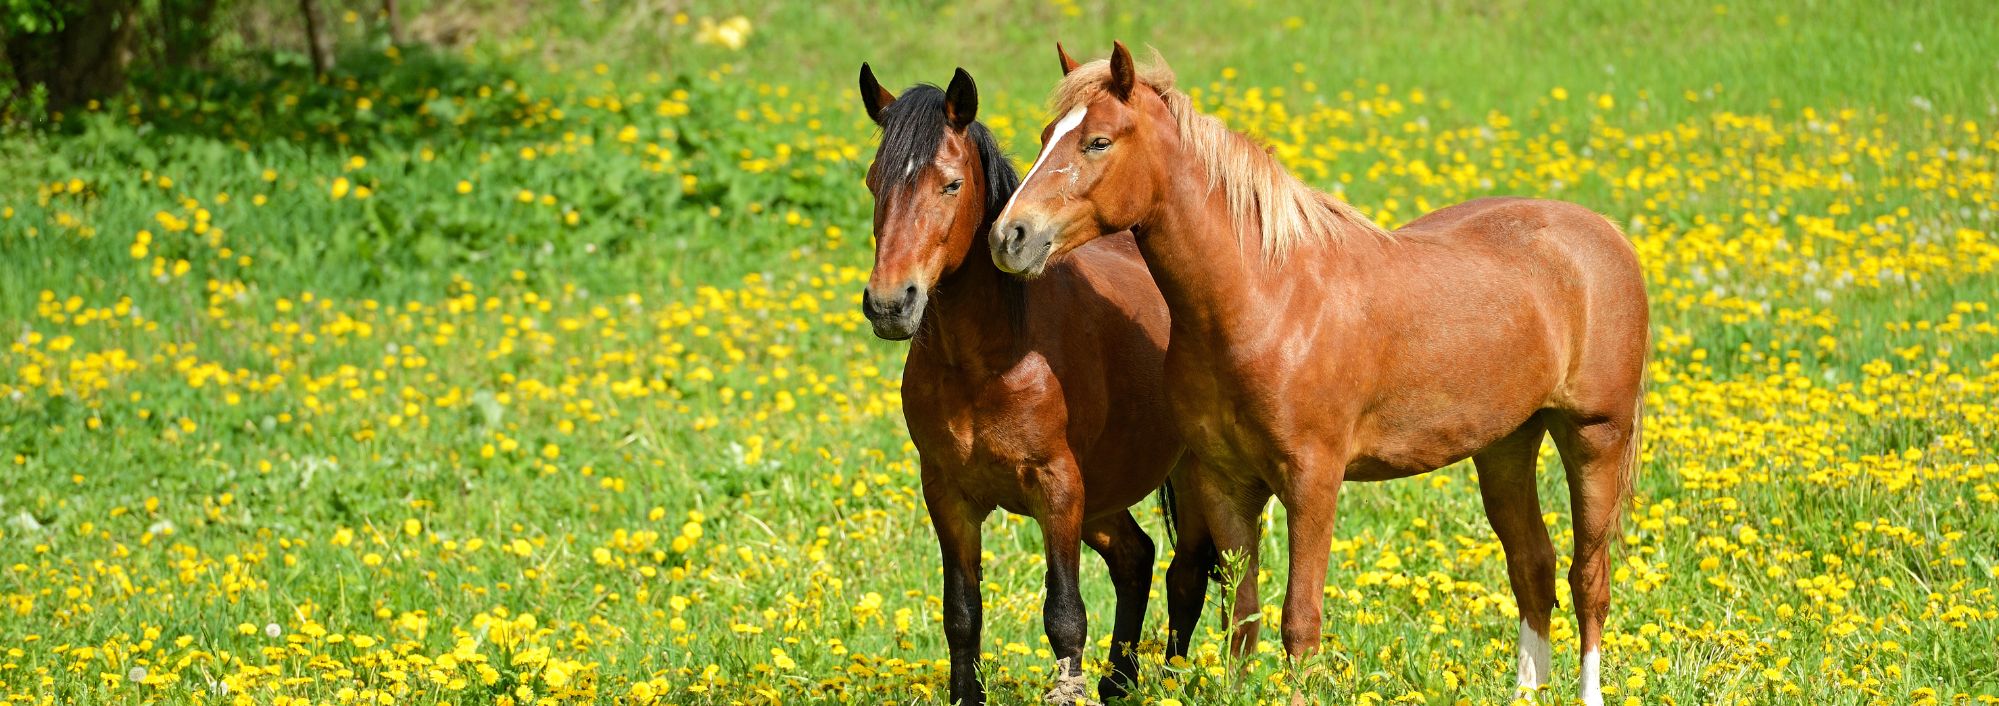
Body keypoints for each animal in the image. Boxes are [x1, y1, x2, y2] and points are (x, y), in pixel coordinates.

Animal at [856, 63, 1203, 705]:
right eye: (873, 182)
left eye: (950, 185)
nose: (890, 304)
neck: (991, 360)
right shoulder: (948, 494)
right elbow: (962, 614)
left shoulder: (1057, 489)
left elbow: (1065, 615)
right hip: (1104, 493)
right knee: (1136, 557)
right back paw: (1119, 682)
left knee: (1188, 571)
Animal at [989, 43, 1648, 706]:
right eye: (1047, 136)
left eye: (1097, 141)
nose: (1008, 237)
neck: (1268, 298)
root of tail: (1607, 235)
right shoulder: (1227, 483)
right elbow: (1243, 621)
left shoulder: (1312, 482)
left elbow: (1298, 620)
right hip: (1507, 446)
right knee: (1533, 568)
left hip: (1594, 438)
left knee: (1589, 578)